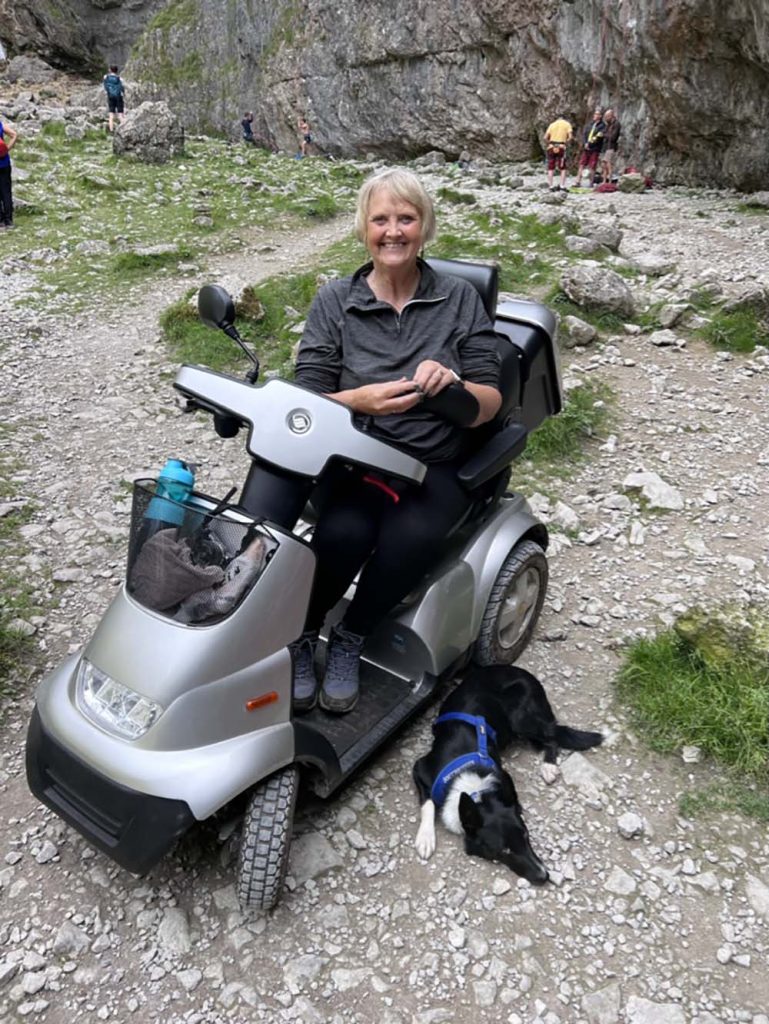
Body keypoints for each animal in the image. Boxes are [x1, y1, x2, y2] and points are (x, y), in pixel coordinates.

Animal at [411, 663, 606, 880]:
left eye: (526, 835)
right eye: (503, 851)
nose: (544, 876)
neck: (474, 787)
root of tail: (521, 671)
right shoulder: (419, 768)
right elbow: (428, 804)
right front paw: (426, 837)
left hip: (521, 718)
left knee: (551, 736)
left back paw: (548, 766)